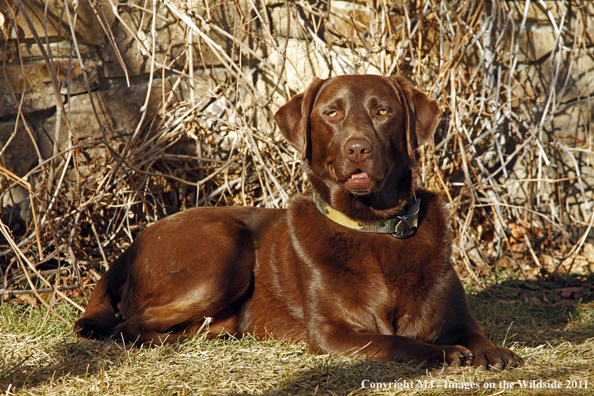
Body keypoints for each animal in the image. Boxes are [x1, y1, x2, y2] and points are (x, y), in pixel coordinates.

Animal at [75, 73, 524, 368]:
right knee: (125, 325)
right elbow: (394, 341)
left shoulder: (456, 315)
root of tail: (129, 247)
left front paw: (492, 351)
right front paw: (444, 353)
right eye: (331, 113)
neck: (375, 225)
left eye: (383, 111)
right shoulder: (331, 332)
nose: (357, 148)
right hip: (225, 252)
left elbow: (476, 335)